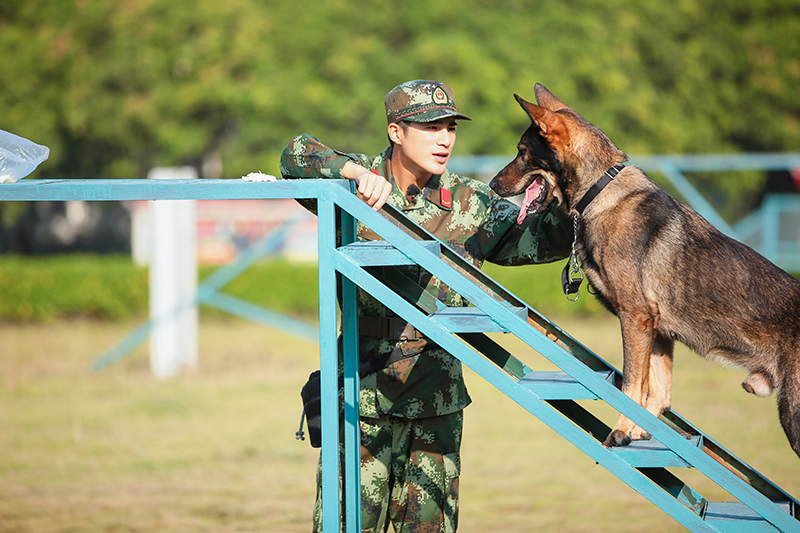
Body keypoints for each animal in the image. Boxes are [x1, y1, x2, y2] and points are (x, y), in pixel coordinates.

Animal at [490, 83, 796, 458]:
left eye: (522, 152)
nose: (492, 184)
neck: (599, 191)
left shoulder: (635, 318)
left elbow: (631, 385)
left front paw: (622, 430)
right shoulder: (659, 332)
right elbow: (658, 394)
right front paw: (637, 431)